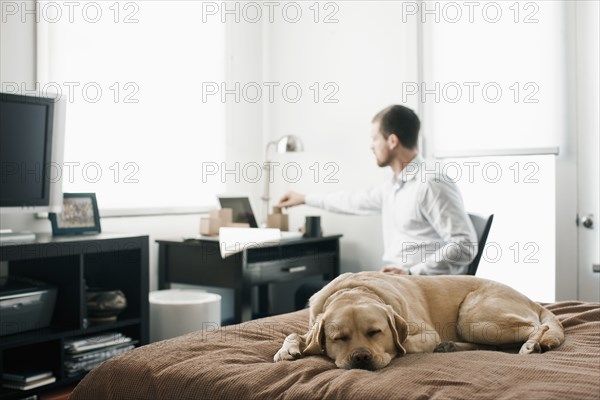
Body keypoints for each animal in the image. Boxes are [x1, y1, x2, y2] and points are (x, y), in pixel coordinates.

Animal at [274, 272, 564, 372]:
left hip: (474, 318)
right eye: (339, 338)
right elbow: (296, 335)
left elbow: (403, 346)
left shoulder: (426, 333)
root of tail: (532, 301)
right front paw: (287, 349)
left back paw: (531, 345)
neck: (355, 290)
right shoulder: (313, 325)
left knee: (538, 327)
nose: (361, 357)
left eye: (376, 332)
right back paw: (451, 347)